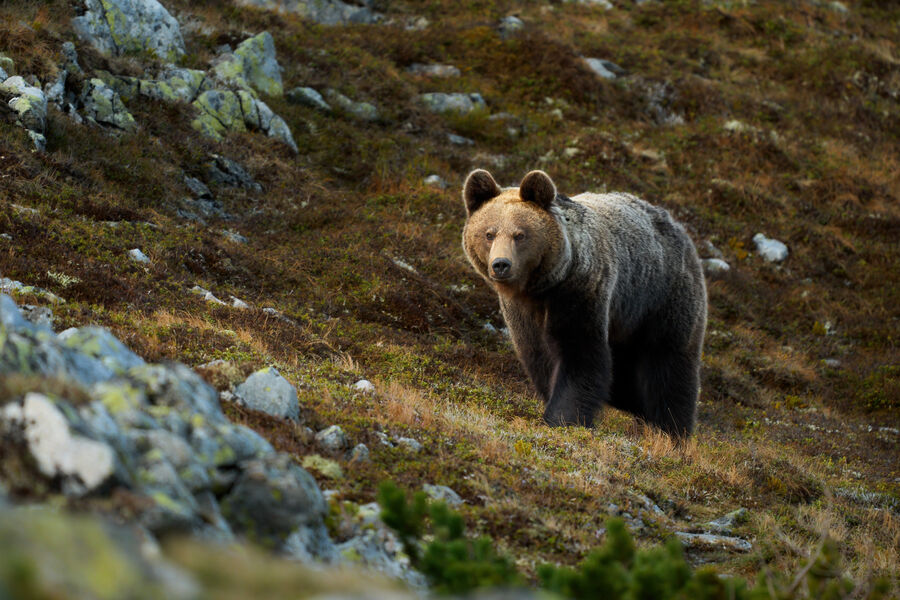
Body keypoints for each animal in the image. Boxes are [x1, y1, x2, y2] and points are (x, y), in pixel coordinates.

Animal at [464, 168, 712, 436]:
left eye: (520, 234)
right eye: (489, 234)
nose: (501, 264)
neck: (541, 288)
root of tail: (681, 231)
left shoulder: (581, 292)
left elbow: (580, 356)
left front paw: (563, 418)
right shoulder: (522, 313)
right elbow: (539, 357)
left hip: (661, 300)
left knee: (668, 367)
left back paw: (672, 429)